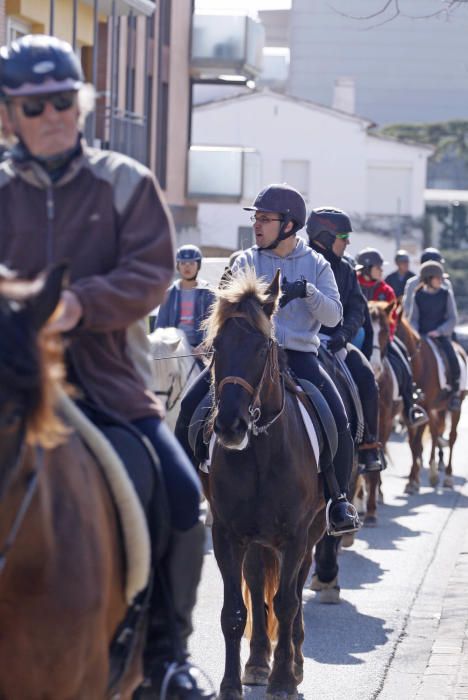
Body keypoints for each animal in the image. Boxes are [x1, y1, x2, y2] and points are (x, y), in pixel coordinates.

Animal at [205, 270, 326, 700]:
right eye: (217, 346)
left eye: (260, 348)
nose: (229, 424)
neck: (260, 453)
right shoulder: (226, 535)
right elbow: (234, 612)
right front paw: (229, 684)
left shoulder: (294, 536)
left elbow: (287, 603)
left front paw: (284, 680)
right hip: (256, 540)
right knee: (258, 588)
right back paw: (258, 662)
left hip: (312, 532)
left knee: (293, 590)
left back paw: (295, 661)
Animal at [396, 314, 466, 490]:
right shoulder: (411, 414)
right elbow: (412, 444)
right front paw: (412, 479)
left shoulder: (426, 408)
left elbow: (417, 443)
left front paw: (413, 481)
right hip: (437, 409)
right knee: (435, 434)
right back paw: (434, 472)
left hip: (456, 407)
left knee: (452, 436)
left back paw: (448, 476)